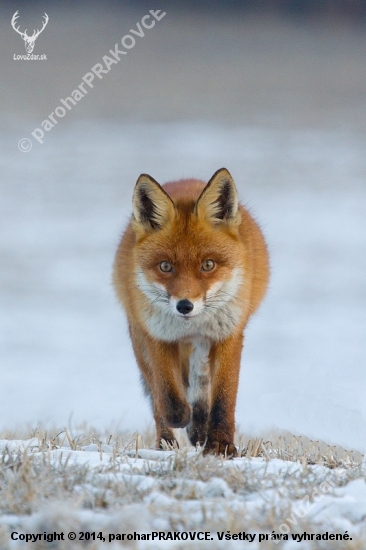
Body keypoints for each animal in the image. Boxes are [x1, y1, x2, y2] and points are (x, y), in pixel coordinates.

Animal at [113, 167, 270, 458]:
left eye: (208, 264)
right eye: (165, 266)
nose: (184, 306)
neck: (189, 325)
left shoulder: (229, 335)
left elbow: (223, 398)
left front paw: (220, 445)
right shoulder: (157, 335)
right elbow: (167, 394)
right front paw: (181, 418)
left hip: (202, 344)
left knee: (201, 384)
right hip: (140, 340)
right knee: (159, 396)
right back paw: (168, 441)